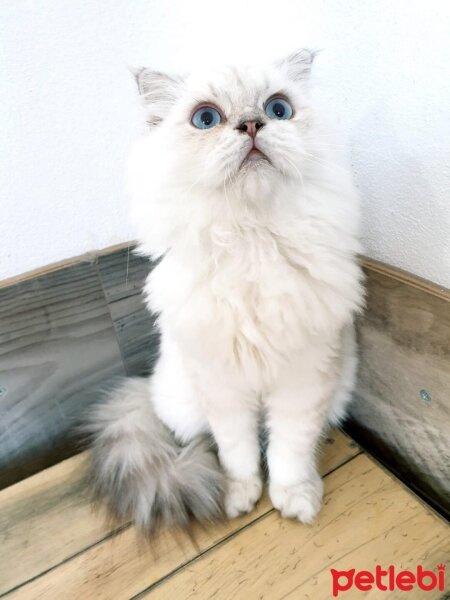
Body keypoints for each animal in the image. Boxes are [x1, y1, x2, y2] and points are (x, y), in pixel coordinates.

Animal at [86, 49, 364, 532]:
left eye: (278, 109)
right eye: (206, 118)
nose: (252, 123)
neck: (252, 243)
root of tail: (148, 385)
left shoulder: (303, 380)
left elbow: (289, 452)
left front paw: (295, 499)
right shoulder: (221, 386)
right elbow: (239, 452)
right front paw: (239, 497)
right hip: (183, 398)